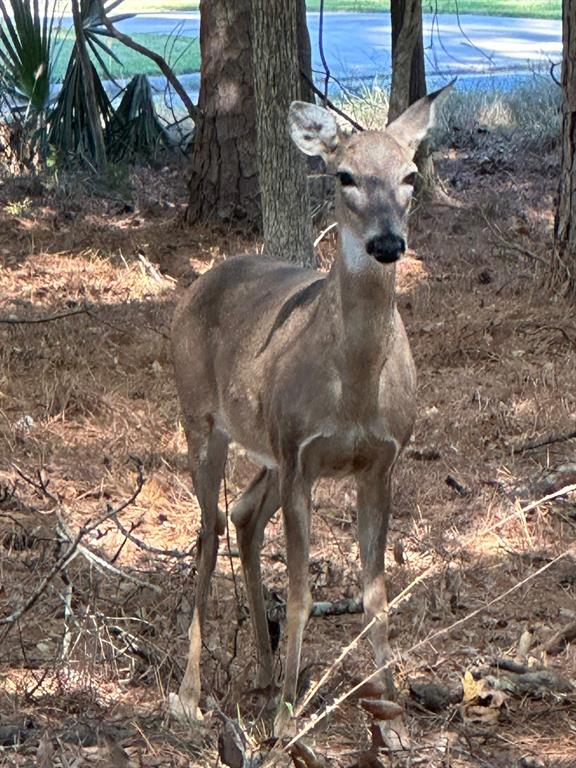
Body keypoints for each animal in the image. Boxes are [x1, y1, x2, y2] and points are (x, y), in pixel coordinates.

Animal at [169, 87, 452, 748]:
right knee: (208, 530)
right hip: (202, 416)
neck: (353, 391)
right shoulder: (302, 453)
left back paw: (266, 672)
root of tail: (199, 283)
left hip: (270, 446)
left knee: (244, 516)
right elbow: (299, 592)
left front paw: (393, 719)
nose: (387, 242)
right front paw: (287, 721)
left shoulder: (379, 461)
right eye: (344, 175)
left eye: (410, 175)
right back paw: (193, 695)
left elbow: (376, 594)